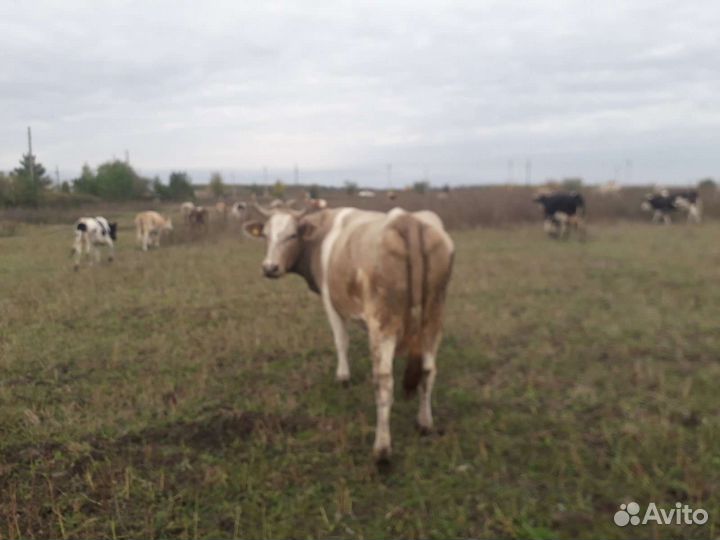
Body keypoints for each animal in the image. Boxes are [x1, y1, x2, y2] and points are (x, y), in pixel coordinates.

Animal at [244, 205, 454, 463]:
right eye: (265, 235)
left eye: (292, 235)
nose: (269, 268)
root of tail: (407, 221)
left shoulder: (330, 301)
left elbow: (341, 340)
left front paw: (343, 377)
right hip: (434, 317)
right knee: (427, 370)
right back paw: (424, 423)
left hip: (383, 321)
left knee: (384, 382)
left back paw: (382, 449)